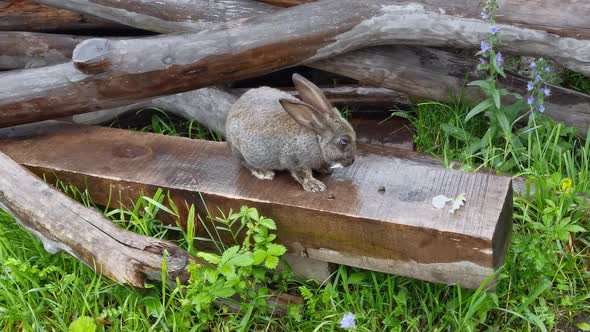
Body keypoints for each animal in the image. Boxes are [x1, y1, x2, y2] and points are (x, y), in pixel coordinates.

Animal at [225, 72, 356, 192]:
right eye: (343, 141)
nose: (352, 161)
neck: (316, 139)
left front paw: (325, 169)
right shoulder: (294, 160)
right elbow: (303, 173)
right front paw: (315, 186)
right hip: (239, 148)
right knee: (245, 162)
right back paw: (263, 172)